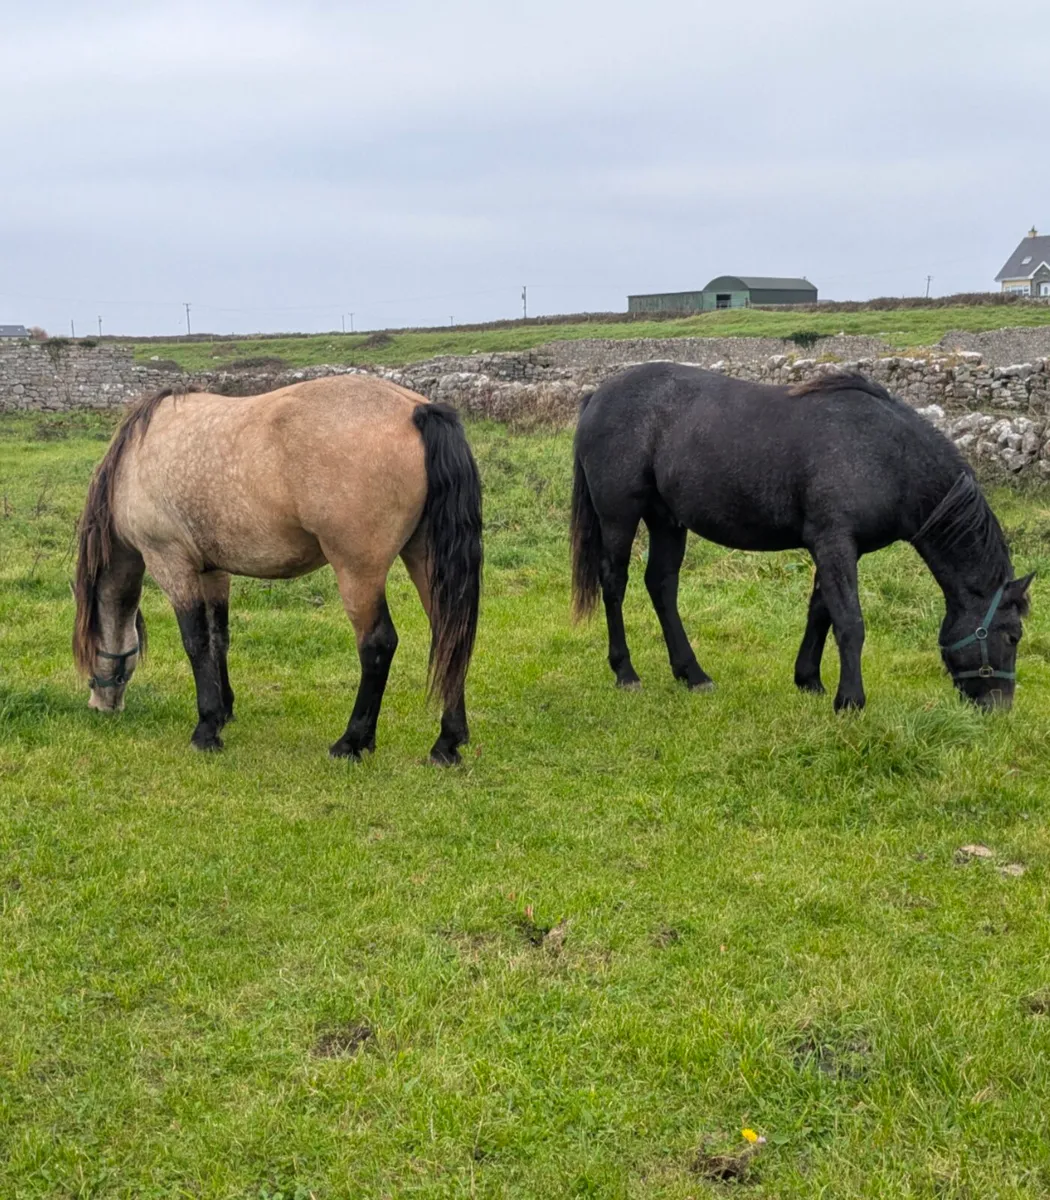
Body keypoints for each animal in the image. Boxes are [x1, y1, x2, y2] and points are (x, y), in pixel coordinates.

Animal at [73, 376, 482, 763]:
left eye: (87, 646)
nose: (100, 707)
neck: (135, 459)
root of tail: (416, 410)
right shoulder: (213, 571)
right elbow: (219, 638)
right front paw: (224, 711)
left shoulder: (172, 564)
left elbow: (196, 642)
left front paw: (206, 730)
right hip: (423, 558)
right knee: (449, 633)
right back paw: (447, 743)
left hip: (358, 573)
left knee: (378, 644)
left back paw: (351, 742)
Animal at [570, 364, 1033, 712]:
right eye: (1013, 636)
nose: (999, 708)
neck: (887, 455)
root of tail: (598, 395)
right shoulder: (834, 544)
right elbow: (849, 622)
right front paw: (850, 701)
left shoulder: (839, 549)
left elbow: (820, 612)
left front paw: (809, 680)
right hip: (619, 517)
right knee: (614, 583)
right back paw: (626, 673)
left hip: (667, 520)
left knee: (662, 586)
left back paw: (693, 674)